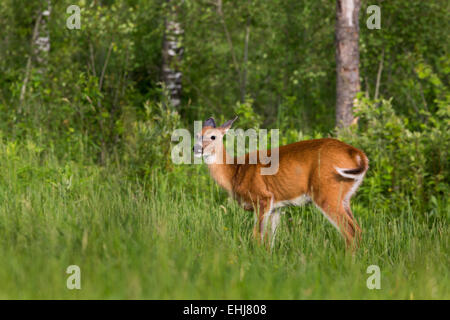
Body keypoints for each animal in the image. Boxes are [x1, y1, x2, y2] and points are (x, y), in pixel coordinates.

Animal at [193, 116, 370, 249]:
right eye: (196, 135)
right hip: (345, 195)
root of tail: (357, 154)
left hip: (326, 192)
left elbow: (257, 236)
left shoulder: (262, 197)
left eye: (213, 136)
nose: (196, 149)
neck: (235, 172)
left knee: (350, 232)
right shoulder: (276, 207)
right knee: (358, 230)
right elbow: (271, 240)